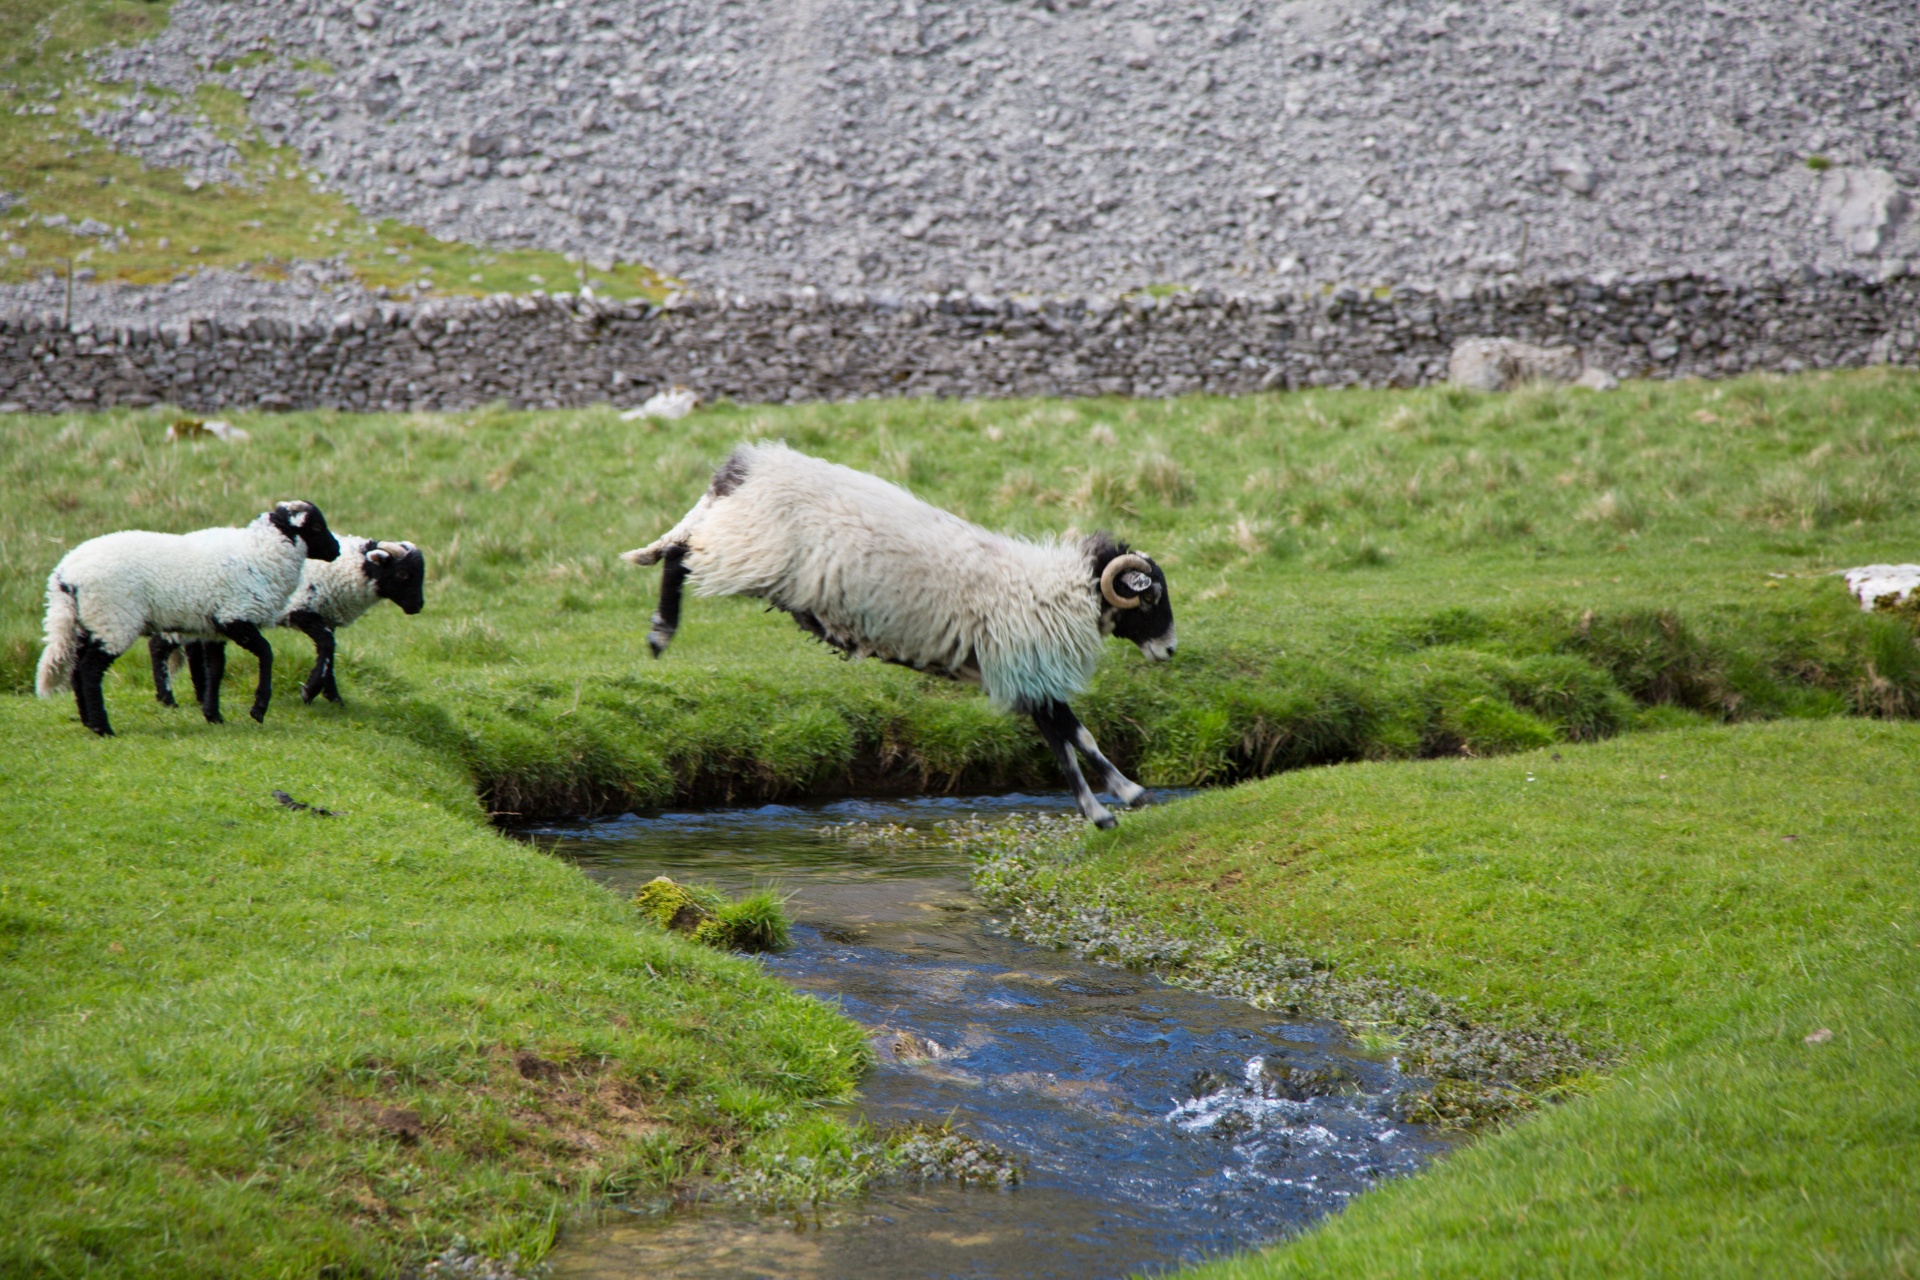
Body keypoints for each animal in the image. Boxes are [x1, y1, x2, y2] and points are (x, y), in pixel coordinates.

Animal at [35, 502, 341, 736]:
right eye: (316, 527)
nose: (336, 550)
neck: (262, 555)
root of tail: (64, 576)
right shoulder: (236, 616)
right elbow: (266, 653)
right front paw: (258, 708)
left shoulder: (215, 628)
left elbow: (215, 669)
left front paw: (213, 715)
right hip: (113, 618)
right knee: (90, 670)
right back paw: (102, 728)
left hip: (88, 623)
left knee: (76, 669)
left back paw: (88, 721)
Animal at [149, 533, 428, 710]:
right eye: (403, 573)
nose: (417, 606)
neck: (347, 570)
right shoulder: (302, 608)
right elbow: (327, 644)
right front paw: (310, 692)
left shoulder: (327, 615)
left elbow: (330, 652)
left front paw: (333, 697)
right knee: (159, 645)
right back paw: (168, 700)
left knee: (192, 649)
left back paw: (199, 695)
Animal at [622, 443, 1175, 832]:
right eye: (1150, 597)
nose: (1169, 650)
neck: (1056, 592)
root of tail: (746, 469)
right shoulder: (1027, 676)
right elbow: (1069, 745)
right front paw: (1107, 809)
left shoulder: (1029, 680)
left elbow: (1076, 737)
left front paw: (1126, 795)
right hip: (745, 549)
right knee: (680, 553)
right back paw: (661, 632)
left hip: (739, 539)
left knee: (678, 546)